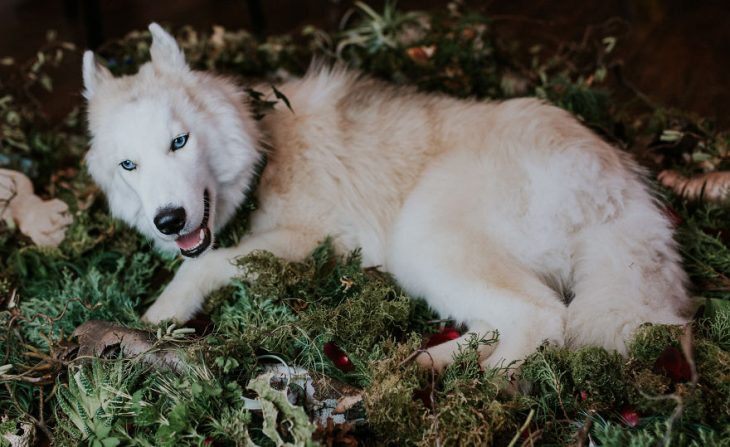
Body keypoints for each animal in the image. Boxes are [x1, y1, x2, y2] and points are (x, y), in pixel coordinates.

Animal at [82, 22, 692, 370]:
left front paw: (159, 315)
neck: (265, 145)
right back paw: (425, 364)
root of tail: (619, 184)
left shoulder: (313, 239)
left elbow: (203, 265)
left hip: (422, 241)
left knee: (544, 319)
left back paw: (480, 390)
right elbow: (202, 260)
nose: (168, 220)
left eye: (179, 141)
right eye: (129, 164)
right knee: (503, 320)